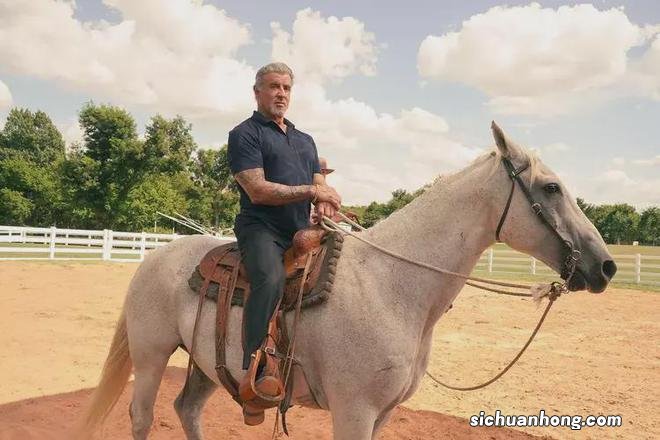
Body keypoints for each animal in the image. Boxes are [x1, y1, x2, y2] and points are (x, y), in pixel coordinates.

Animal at [78, 124, 620, 440]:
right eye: (551, 187)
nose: (606, 266)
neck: (392, 286)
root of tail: (153, 257)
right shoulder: (354, 411)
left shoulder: (382, 415)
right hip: (151, 355)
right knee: (143, 416)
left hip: (207, 362)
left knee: (187, 409)